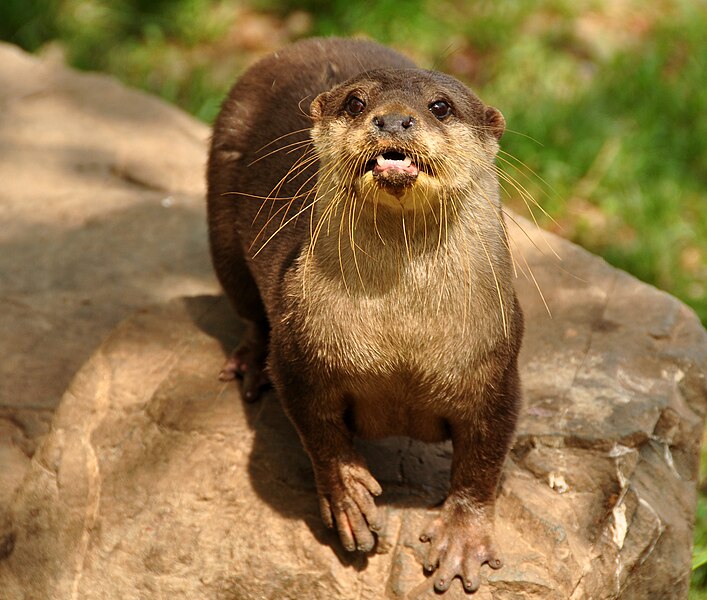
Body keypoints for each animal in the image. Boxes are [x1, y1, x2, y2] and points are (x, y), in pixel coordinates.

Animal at [207, 38, 524, 596]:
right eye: (356, 102)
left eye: (440, 106)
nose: (393, 119)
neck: (401, 336)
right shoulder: (299, 348)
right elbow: (318, 430)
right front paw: (349, 497)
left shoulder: (497, 364)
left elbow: (485, 459)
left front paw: (462, 539)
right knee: (248, 308)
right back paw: (247, 365)